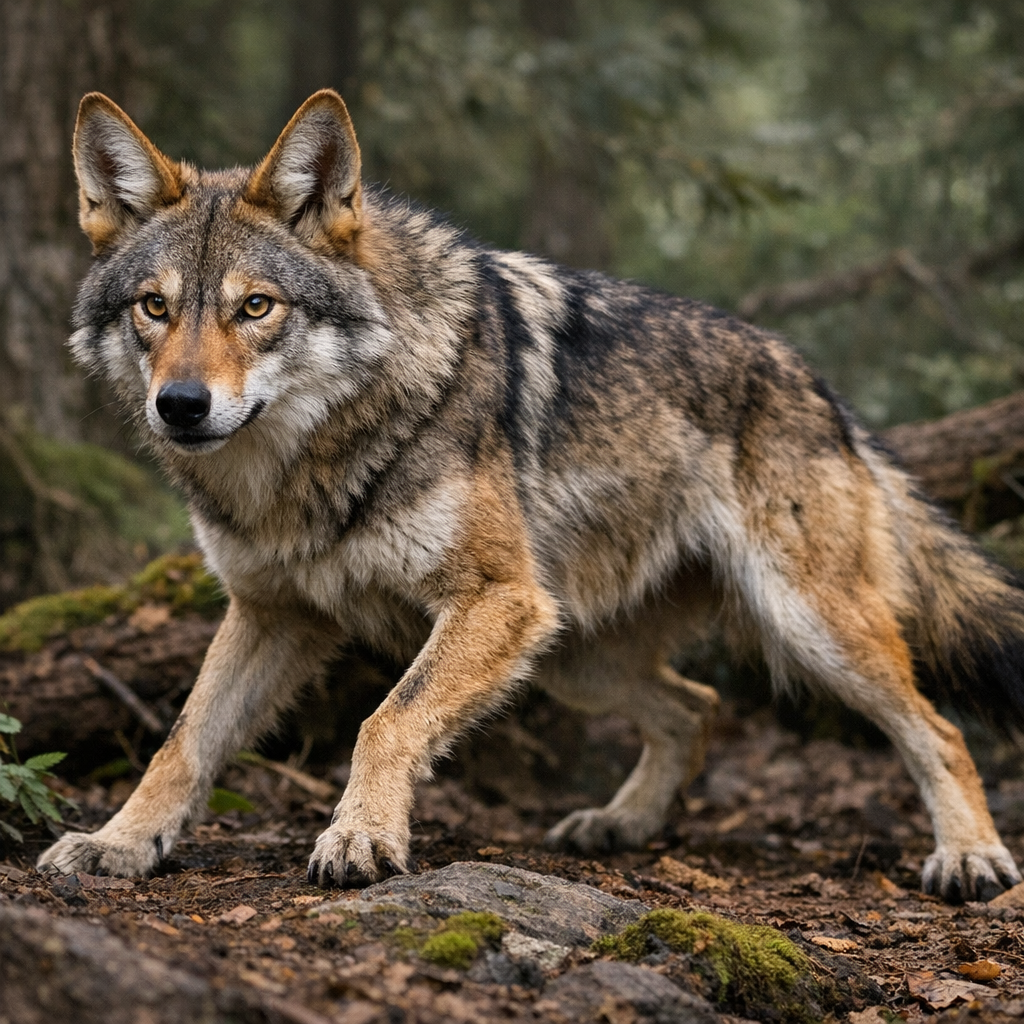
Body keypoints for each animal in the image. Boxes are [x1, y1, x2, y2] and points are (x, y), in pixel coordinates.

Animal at [38, 89, 1024, 902]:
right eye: (155, 308)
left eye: (255, 308)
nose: (181, 405)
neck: (305, 468)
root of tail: (820, 384)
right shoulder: (270, 611)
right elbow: (184, 740)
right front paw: (118, 842)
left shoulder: (496, 597)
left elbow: (383, 722)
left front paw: (360, 839)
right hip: (573, 653)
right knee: (696, 708)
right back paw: (624, 823)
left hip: (800, 625)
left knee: (936, 730)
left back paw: (971, 858)